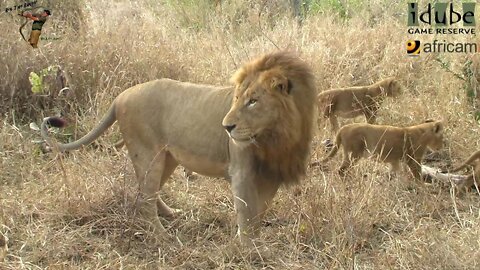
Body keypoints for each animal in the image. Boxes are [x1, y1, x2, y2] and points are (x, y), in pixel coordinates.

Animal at [42, 51, 318, 246]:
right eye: (237, 98)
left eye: (253, 101)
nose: (226, 127)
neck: (278, 135)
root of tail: (121, 96)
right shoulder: (242, 172)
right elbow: (246, 213)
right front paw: (246, 249)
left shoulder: (272, 174)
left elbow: (259, 213)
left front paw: (257, 244)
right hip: (147, 154)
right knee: (144, 199)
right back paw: (162, 237)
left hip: (167, 158)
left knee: (145, 192)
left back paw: (170, 214)